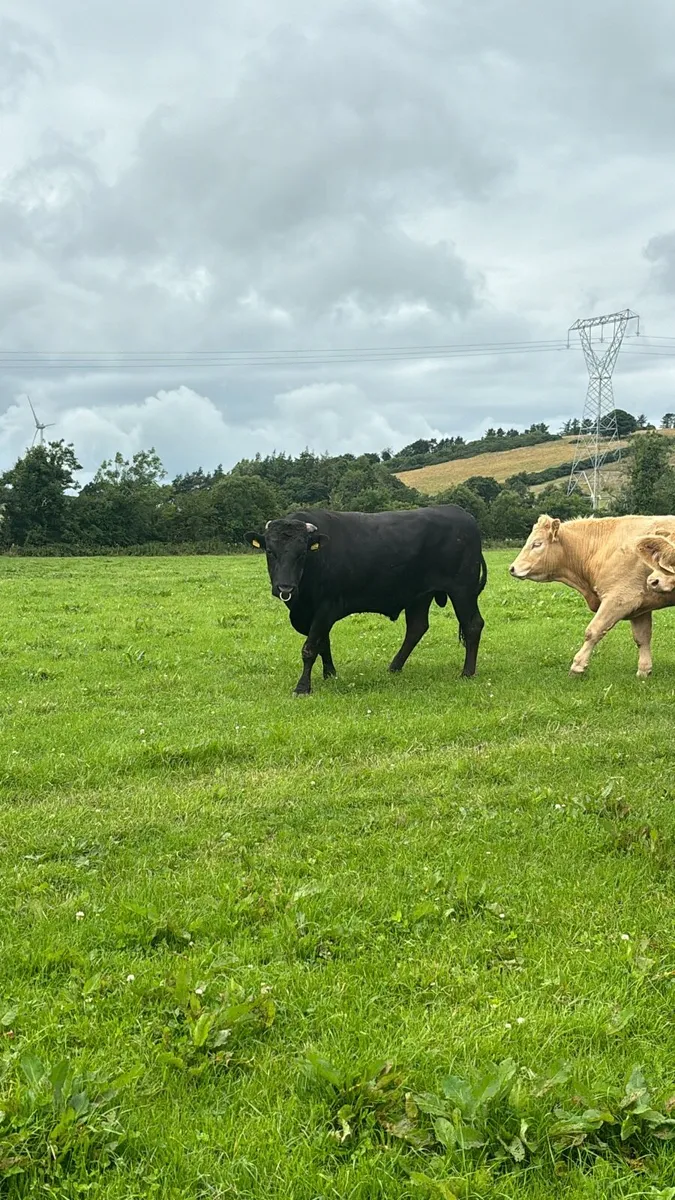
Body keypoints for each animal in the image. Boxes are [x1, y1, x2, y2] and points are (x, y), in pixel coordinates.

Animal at [245, 506, 487, 695]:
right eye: (270, 551)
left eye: (302, 553)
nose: (285, 587)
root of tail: (461, 513)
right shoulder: (314, 613)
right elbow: (323, 643)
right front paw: (330, 673)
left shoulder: (326, 607)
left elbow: (310, 648)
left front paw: (303, 687)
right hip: (419, 595)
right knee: (417, 628)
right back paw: (394, 667)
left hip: (462, 590)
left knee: (473, 625)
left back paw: (467, 672)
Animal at [509, 513, 675, 677]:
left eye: (537, 544)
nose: (512, 568)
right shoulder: (639, 607)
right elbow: (642, 638)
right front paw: (644, 671)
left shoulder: (620, 599)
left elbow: (593, 631)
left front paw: (577, 666)